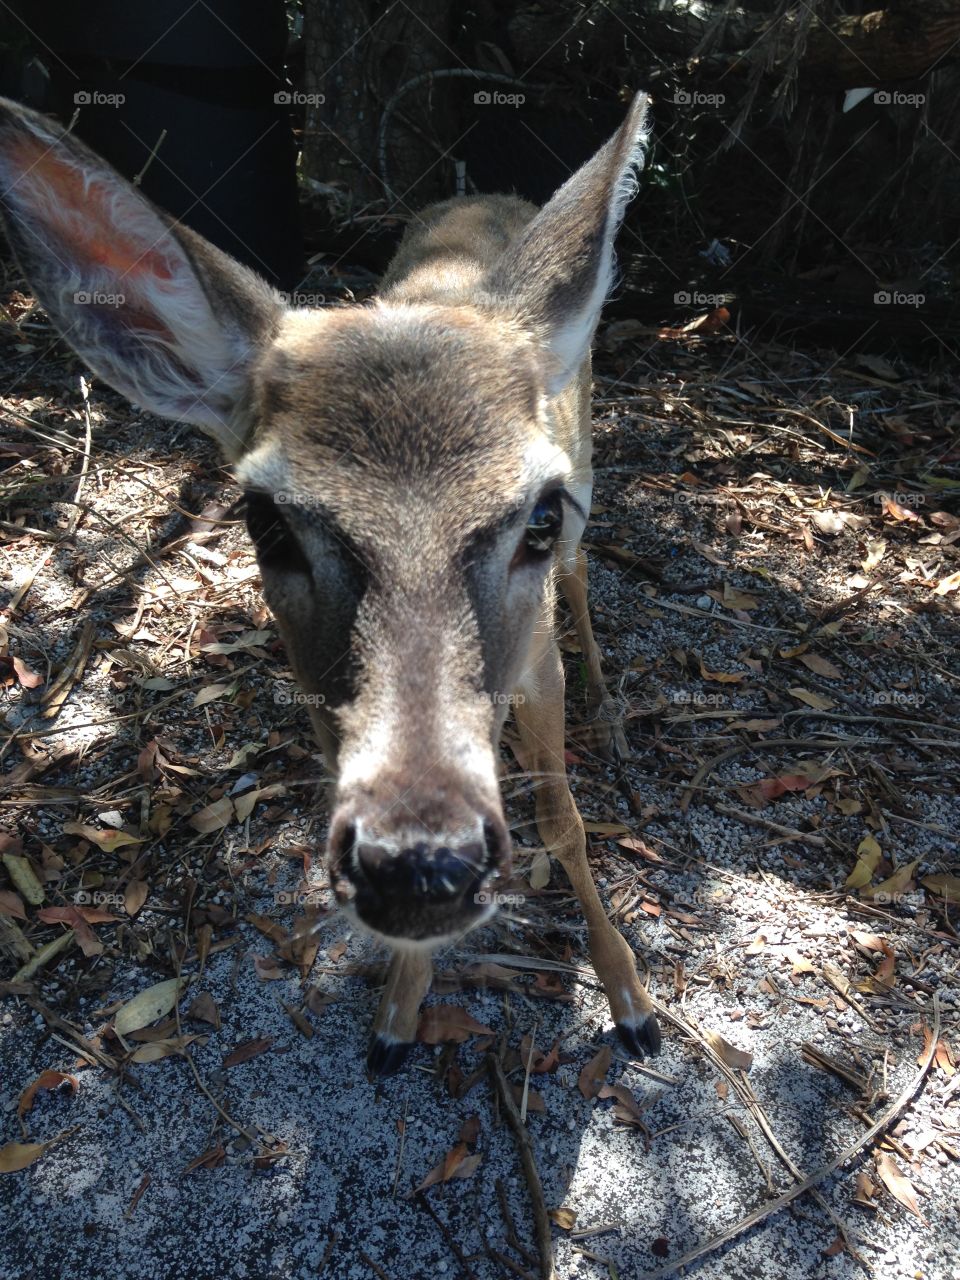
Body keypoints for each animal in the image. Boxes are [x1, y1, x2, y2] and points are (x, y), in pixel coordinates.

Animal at [0, 91, 661, 1076]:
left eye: (536, 516)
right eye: (266, 522)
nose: (422, 864)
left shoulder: (536, 652)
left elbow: (566, 822)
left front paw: (628, 997)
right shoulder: (313, 686)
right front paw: (398, 1010)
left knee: (585, 587)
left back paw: (612, 716)